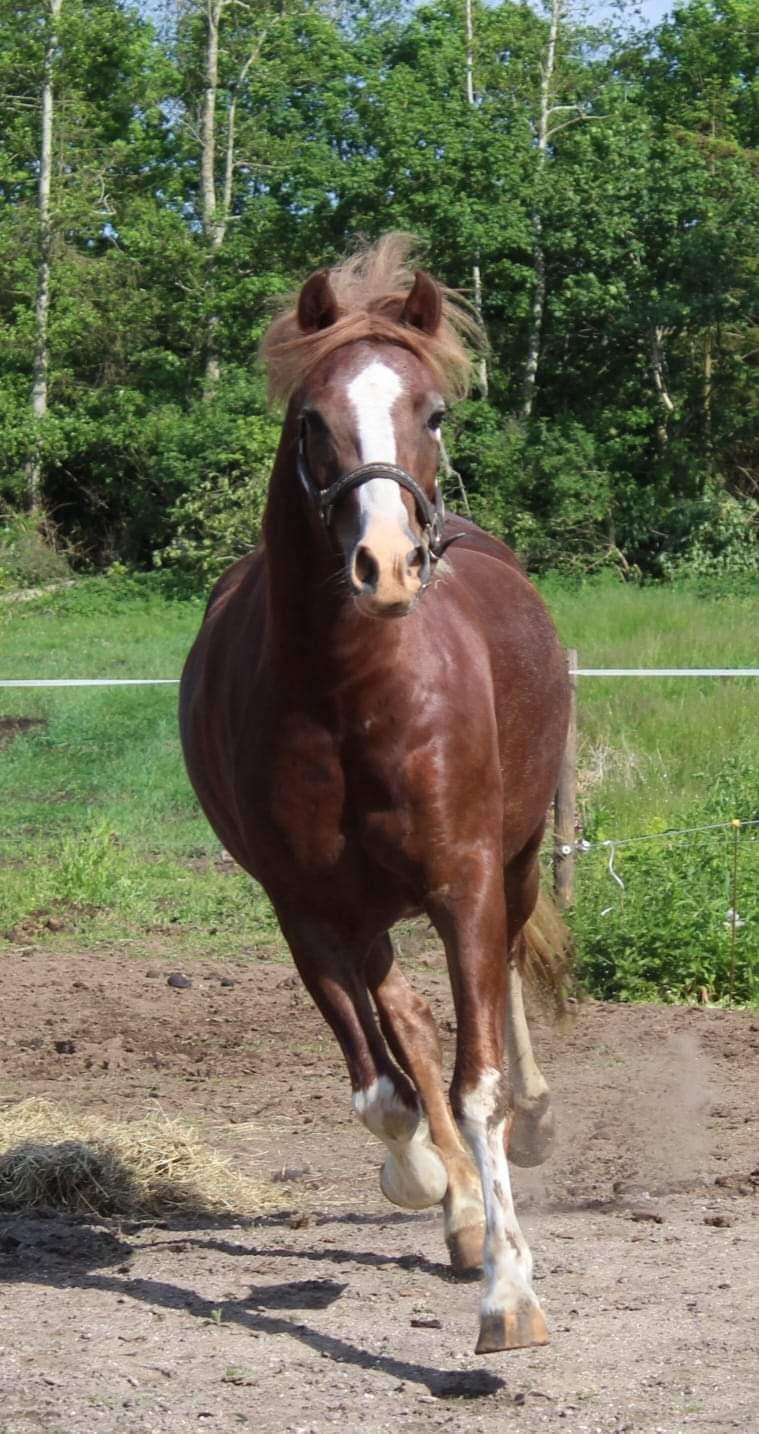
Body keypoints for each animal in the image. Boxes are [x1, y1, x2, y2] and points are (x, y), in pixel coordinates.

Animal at [179, 235, 568, 1353]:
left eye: (431, 413)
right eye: (311, 419)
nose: (386, 565)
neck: (349, 698)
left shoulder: (465, 885)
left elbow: (477, 1085)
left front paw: (510, 1298)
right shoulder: (306, 910)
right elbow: (385, 1092)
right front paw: (433, 1188)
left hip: (518, 862)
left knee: (503, 1003)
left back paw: (531, 1128)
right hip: (371, 917)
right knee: (407, 1023)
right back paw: (459, 1208)